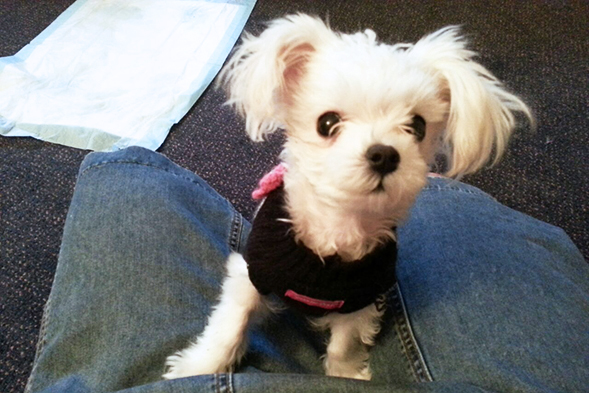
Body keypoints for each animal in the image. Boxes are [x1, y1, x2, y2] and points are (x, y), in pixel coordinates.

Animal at [163, 14, 532, 380]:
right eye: (327, 123)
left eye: (418, 126)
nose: (384, 155)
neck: (339, 227)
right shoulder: (248, 276)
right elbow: (229, 327)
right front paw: (198, 368)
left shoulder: (360, 301)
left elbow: (344, 343)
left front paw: (347, 374)